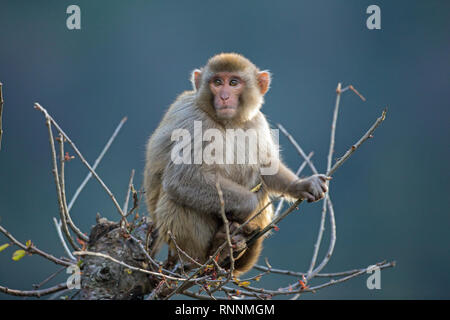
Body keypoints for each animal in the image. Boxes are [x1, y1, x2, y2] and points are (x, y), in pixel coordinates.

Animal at [145, 52, 330, 276]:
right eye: (217, 82)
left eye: (233, 83)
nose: (224, 96)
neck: (228, 122)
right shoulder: (193, 121)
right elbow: (181, 178)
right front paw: (248, 207)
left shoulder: (257, 121)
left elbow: (266, 166)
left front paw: (302, 185)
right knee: (176, 198)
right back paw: (211, 250)